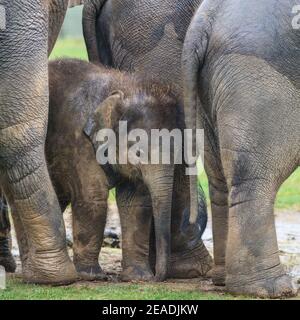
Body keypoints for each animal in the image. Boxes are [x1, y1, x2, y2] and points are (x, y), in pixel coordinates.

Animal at [183, 0, 300, 298]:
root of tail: (205, 18)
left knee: (219, 177)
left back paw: (223, 280)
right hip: (259, 79)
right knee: (254, 177)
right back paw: (268, 288)